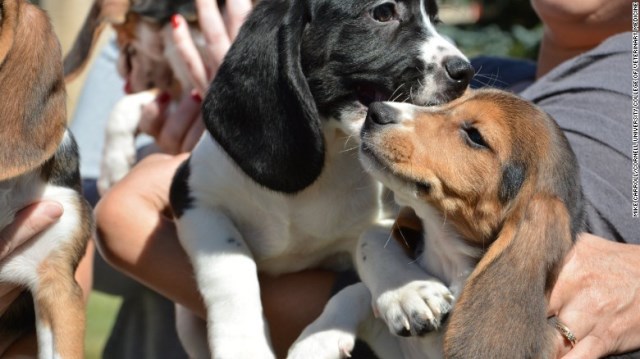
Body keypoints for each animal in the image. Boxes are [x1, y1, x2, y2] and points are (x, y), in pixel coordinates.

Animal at [166, 0, 476, 358]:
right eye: (383, 13)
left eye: (436, 19)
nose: (465, 72)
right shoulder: (195, 198)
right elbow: (230, 269)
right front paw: (242, 346)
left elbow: (369, 240)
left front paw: (407, 290)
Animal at [290, 88, 584, 359]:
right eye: (450, 102)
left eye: (475, 136)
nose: (376, 111)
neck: (447, 259)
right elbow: (355, 291)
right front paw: (314, 343)